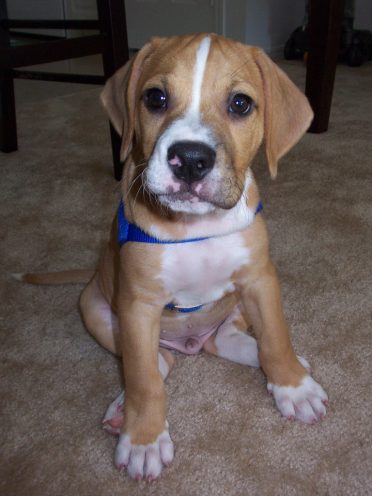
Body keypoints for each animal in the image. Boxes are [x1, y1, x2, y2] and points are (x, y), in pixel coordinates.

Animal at [24, 34, 328, 480]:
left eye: (241, 104)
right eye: (156, 98)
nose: (190, 159)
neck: (194, 228)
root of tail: (191, 343)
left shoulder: (260, 279)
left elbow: (275, 337)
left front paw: (293, 385)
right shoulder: (137, 306)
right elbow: (144, 379)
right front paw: (144, 439)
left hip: (234, 306)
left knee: (224, 340)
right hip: (97, 310)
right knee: (158, 361)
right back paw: (123, 408)